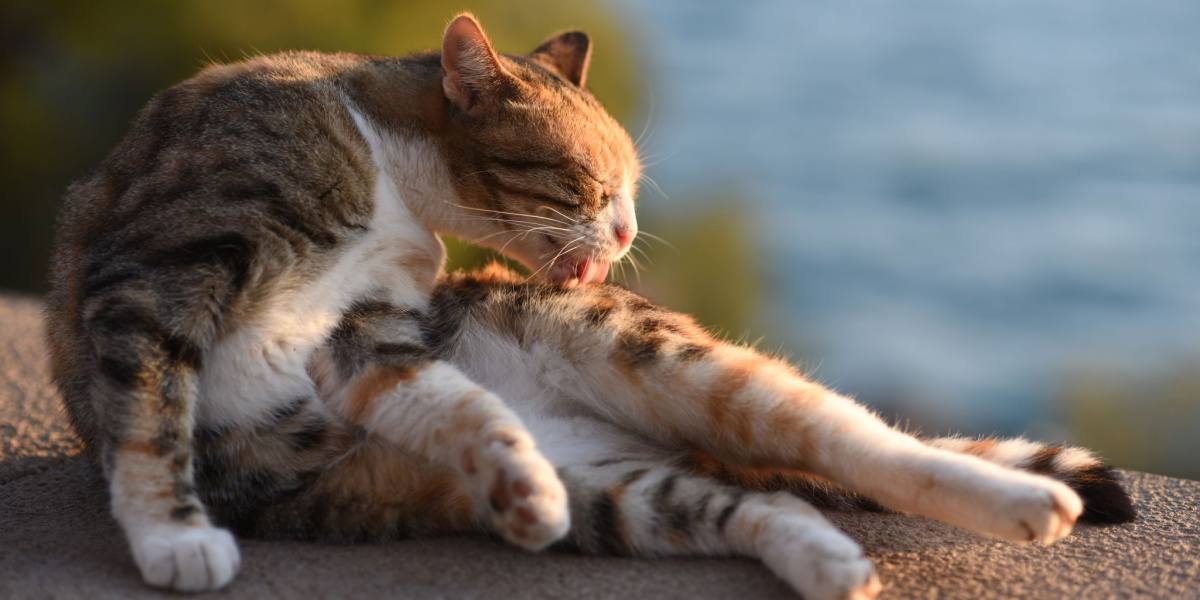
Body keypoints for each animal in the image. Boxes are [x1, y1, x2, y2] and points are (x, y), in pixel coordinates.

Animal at [46, 14, 1132, 600]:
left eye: (629, 191)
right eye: (588, 183)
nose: (626, 235)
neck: (388, 174)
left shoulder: (364, 328)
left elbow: (430, 392)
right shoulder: (164, 266)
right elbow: (150, 413)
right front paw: (173, 535)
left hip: (662, 359)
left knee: (864, 442)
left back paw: (1025, 502)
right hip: (626, 497)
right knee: (767, 502)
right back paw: (833, 565)